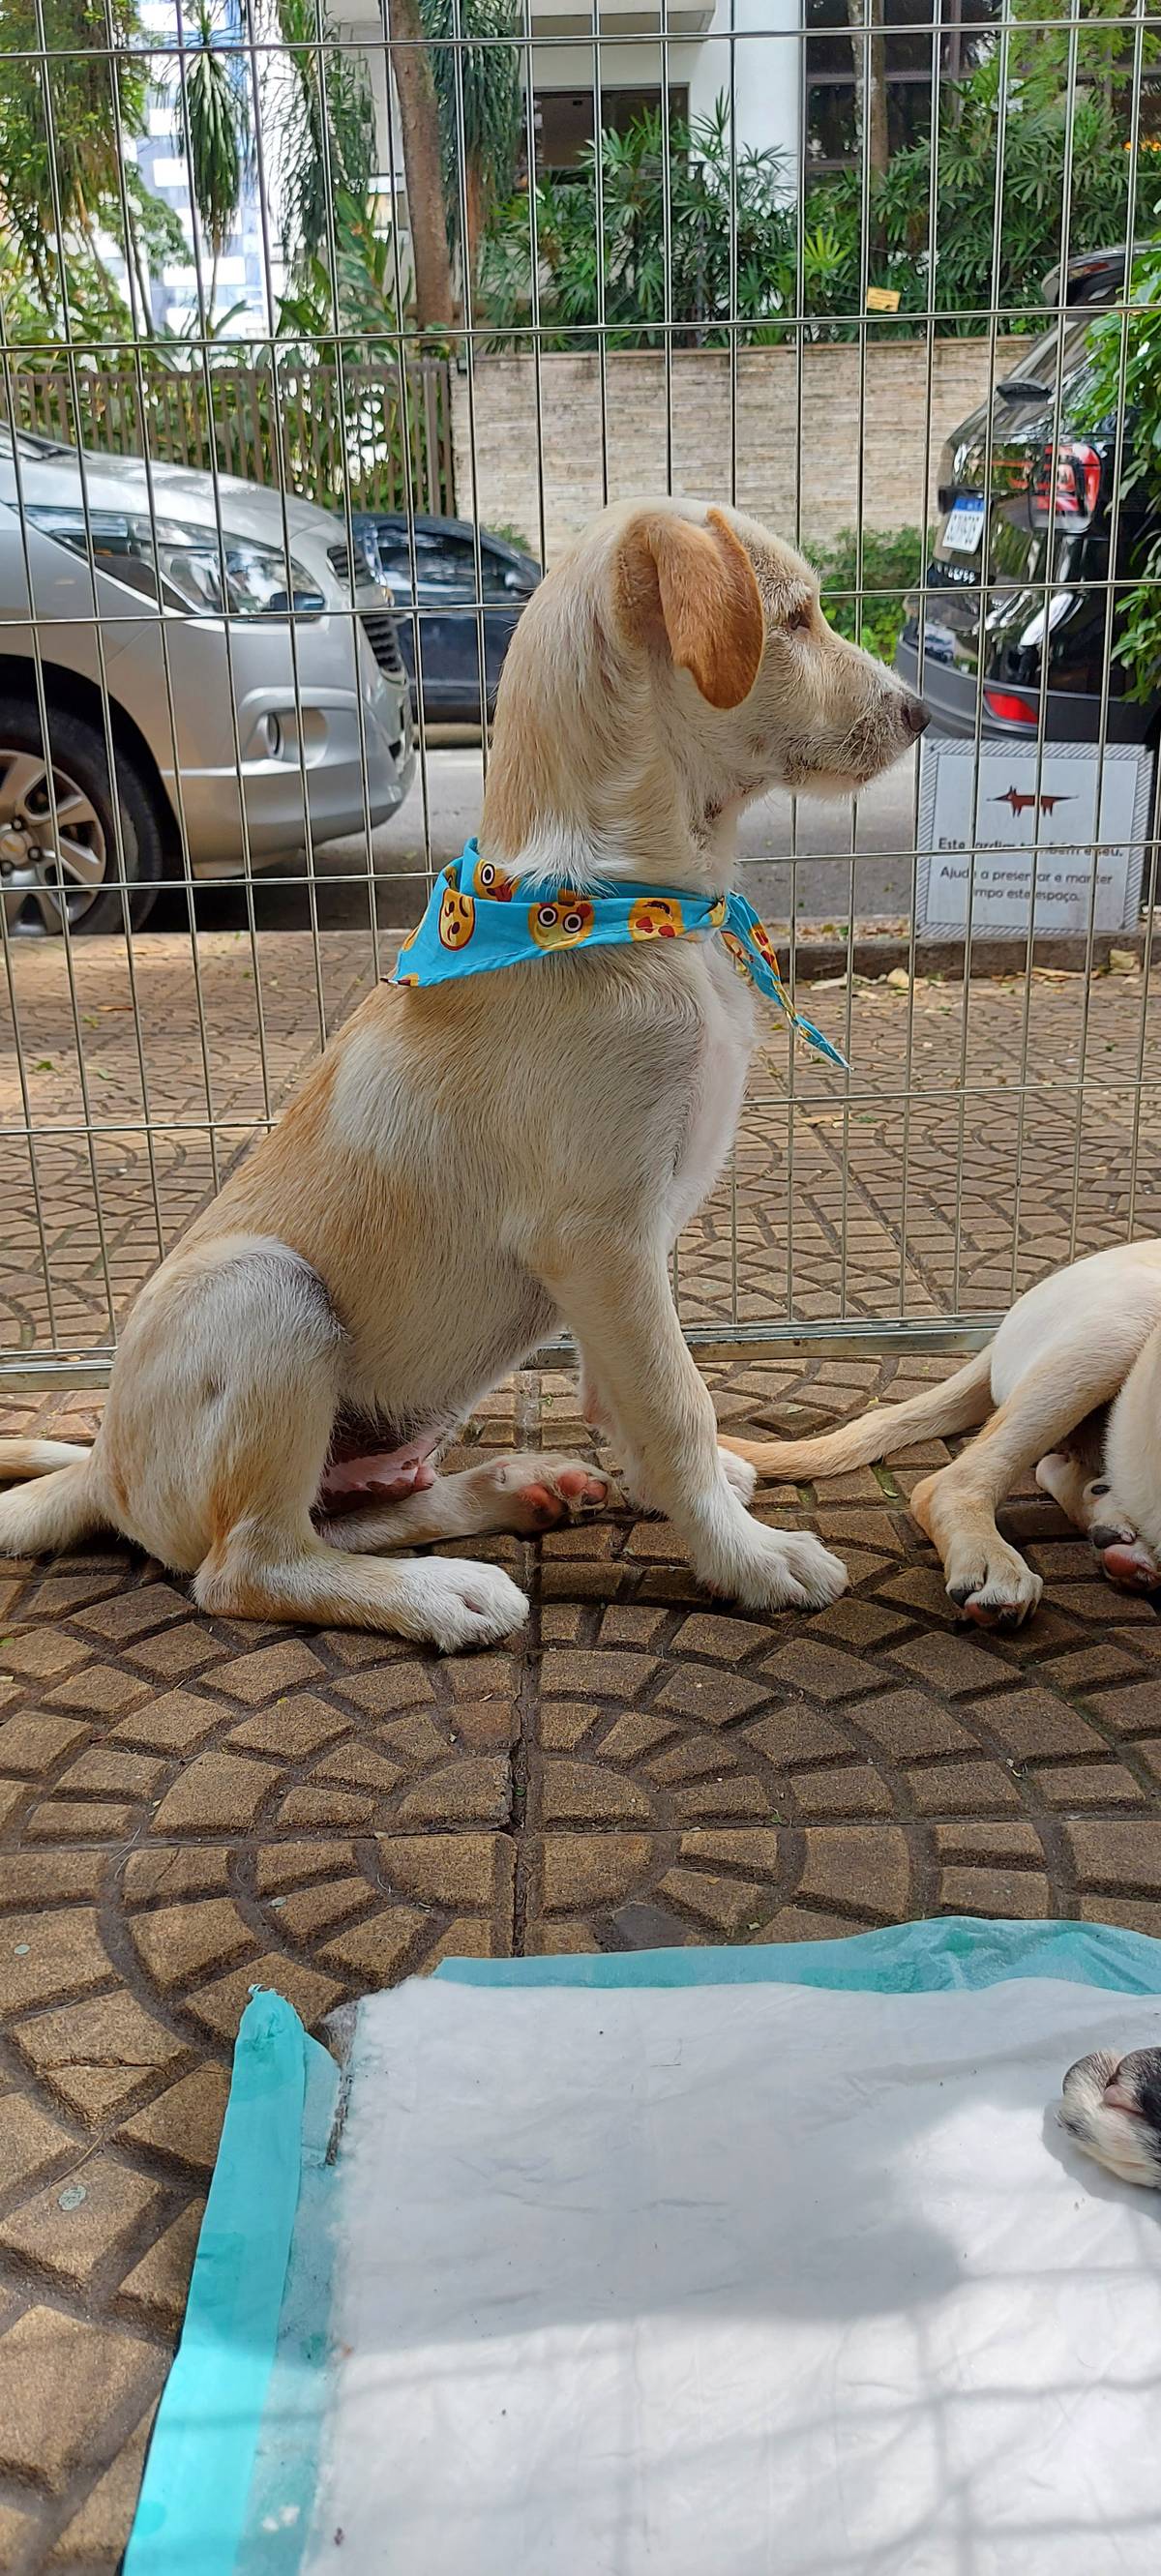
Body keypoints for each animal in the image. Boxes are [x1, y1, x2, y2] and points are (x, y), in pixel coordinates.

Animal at [0, 499, 924, 1652]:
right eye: (795, 618)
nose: (921, 710)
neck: (616, 898)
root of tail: (108, 1476)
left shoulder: (634, 1244)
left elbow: (632, 1396)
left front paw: (691, 1494)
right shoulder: (599, 1234)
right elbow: (677, 1401)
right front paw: (744, 1557)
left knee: (352, 1512)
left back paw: (507, 1490)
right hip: (267, 1293)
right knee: (248, 1564)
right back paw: (443, 1591)